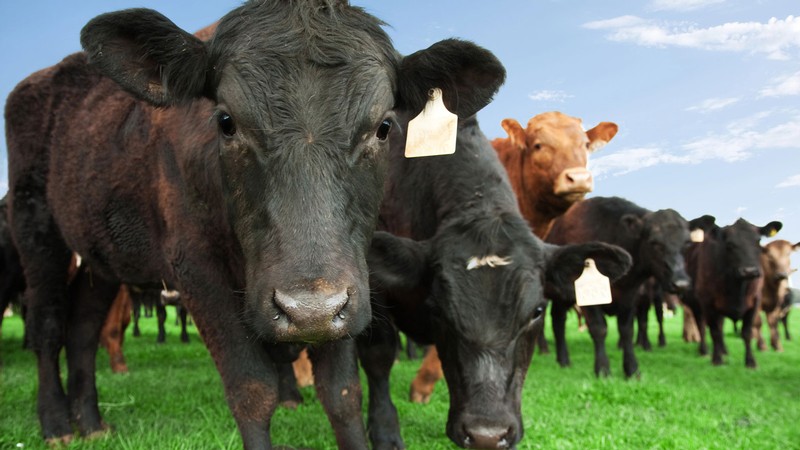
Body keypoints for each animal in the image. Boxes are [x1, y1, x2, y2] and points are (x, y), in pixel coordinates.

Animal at [4, 2, 505, 447]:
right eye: (226, 122)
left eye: (384, 127)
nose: (307, 310)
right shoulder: (196, 269)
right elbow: (251, 389)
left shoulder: (347, 284)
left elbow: (342, 393)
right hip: (35, 230)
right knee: (48, 324)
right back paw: (57, 423)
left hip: (100, 256)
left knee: (83, 328)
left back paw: (90, 422)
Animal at [545, 196, 693, 378]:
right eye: (654, 242)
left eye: (687, 243)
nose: (681, 283)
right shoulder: (587, 298)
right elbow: (599, 328)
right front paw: (602, 369)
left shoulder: (630, 296)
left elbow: (627, 330)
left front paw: (632, 369)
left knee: (558, 321)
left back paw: (563, 360)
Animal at [682, 218, 782, 368]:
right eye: (729, 244)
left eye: (758, 241)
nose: (750, 271)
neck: (737, 287)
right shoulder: (707, 302)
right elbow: (714, 331)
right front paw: (717, 359)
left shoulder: (755, 301)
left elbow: (746, 332)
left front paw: (750, 361)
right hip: (695, 304)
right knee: (701, 325)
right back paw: (704, 350)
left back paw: (724, 350)